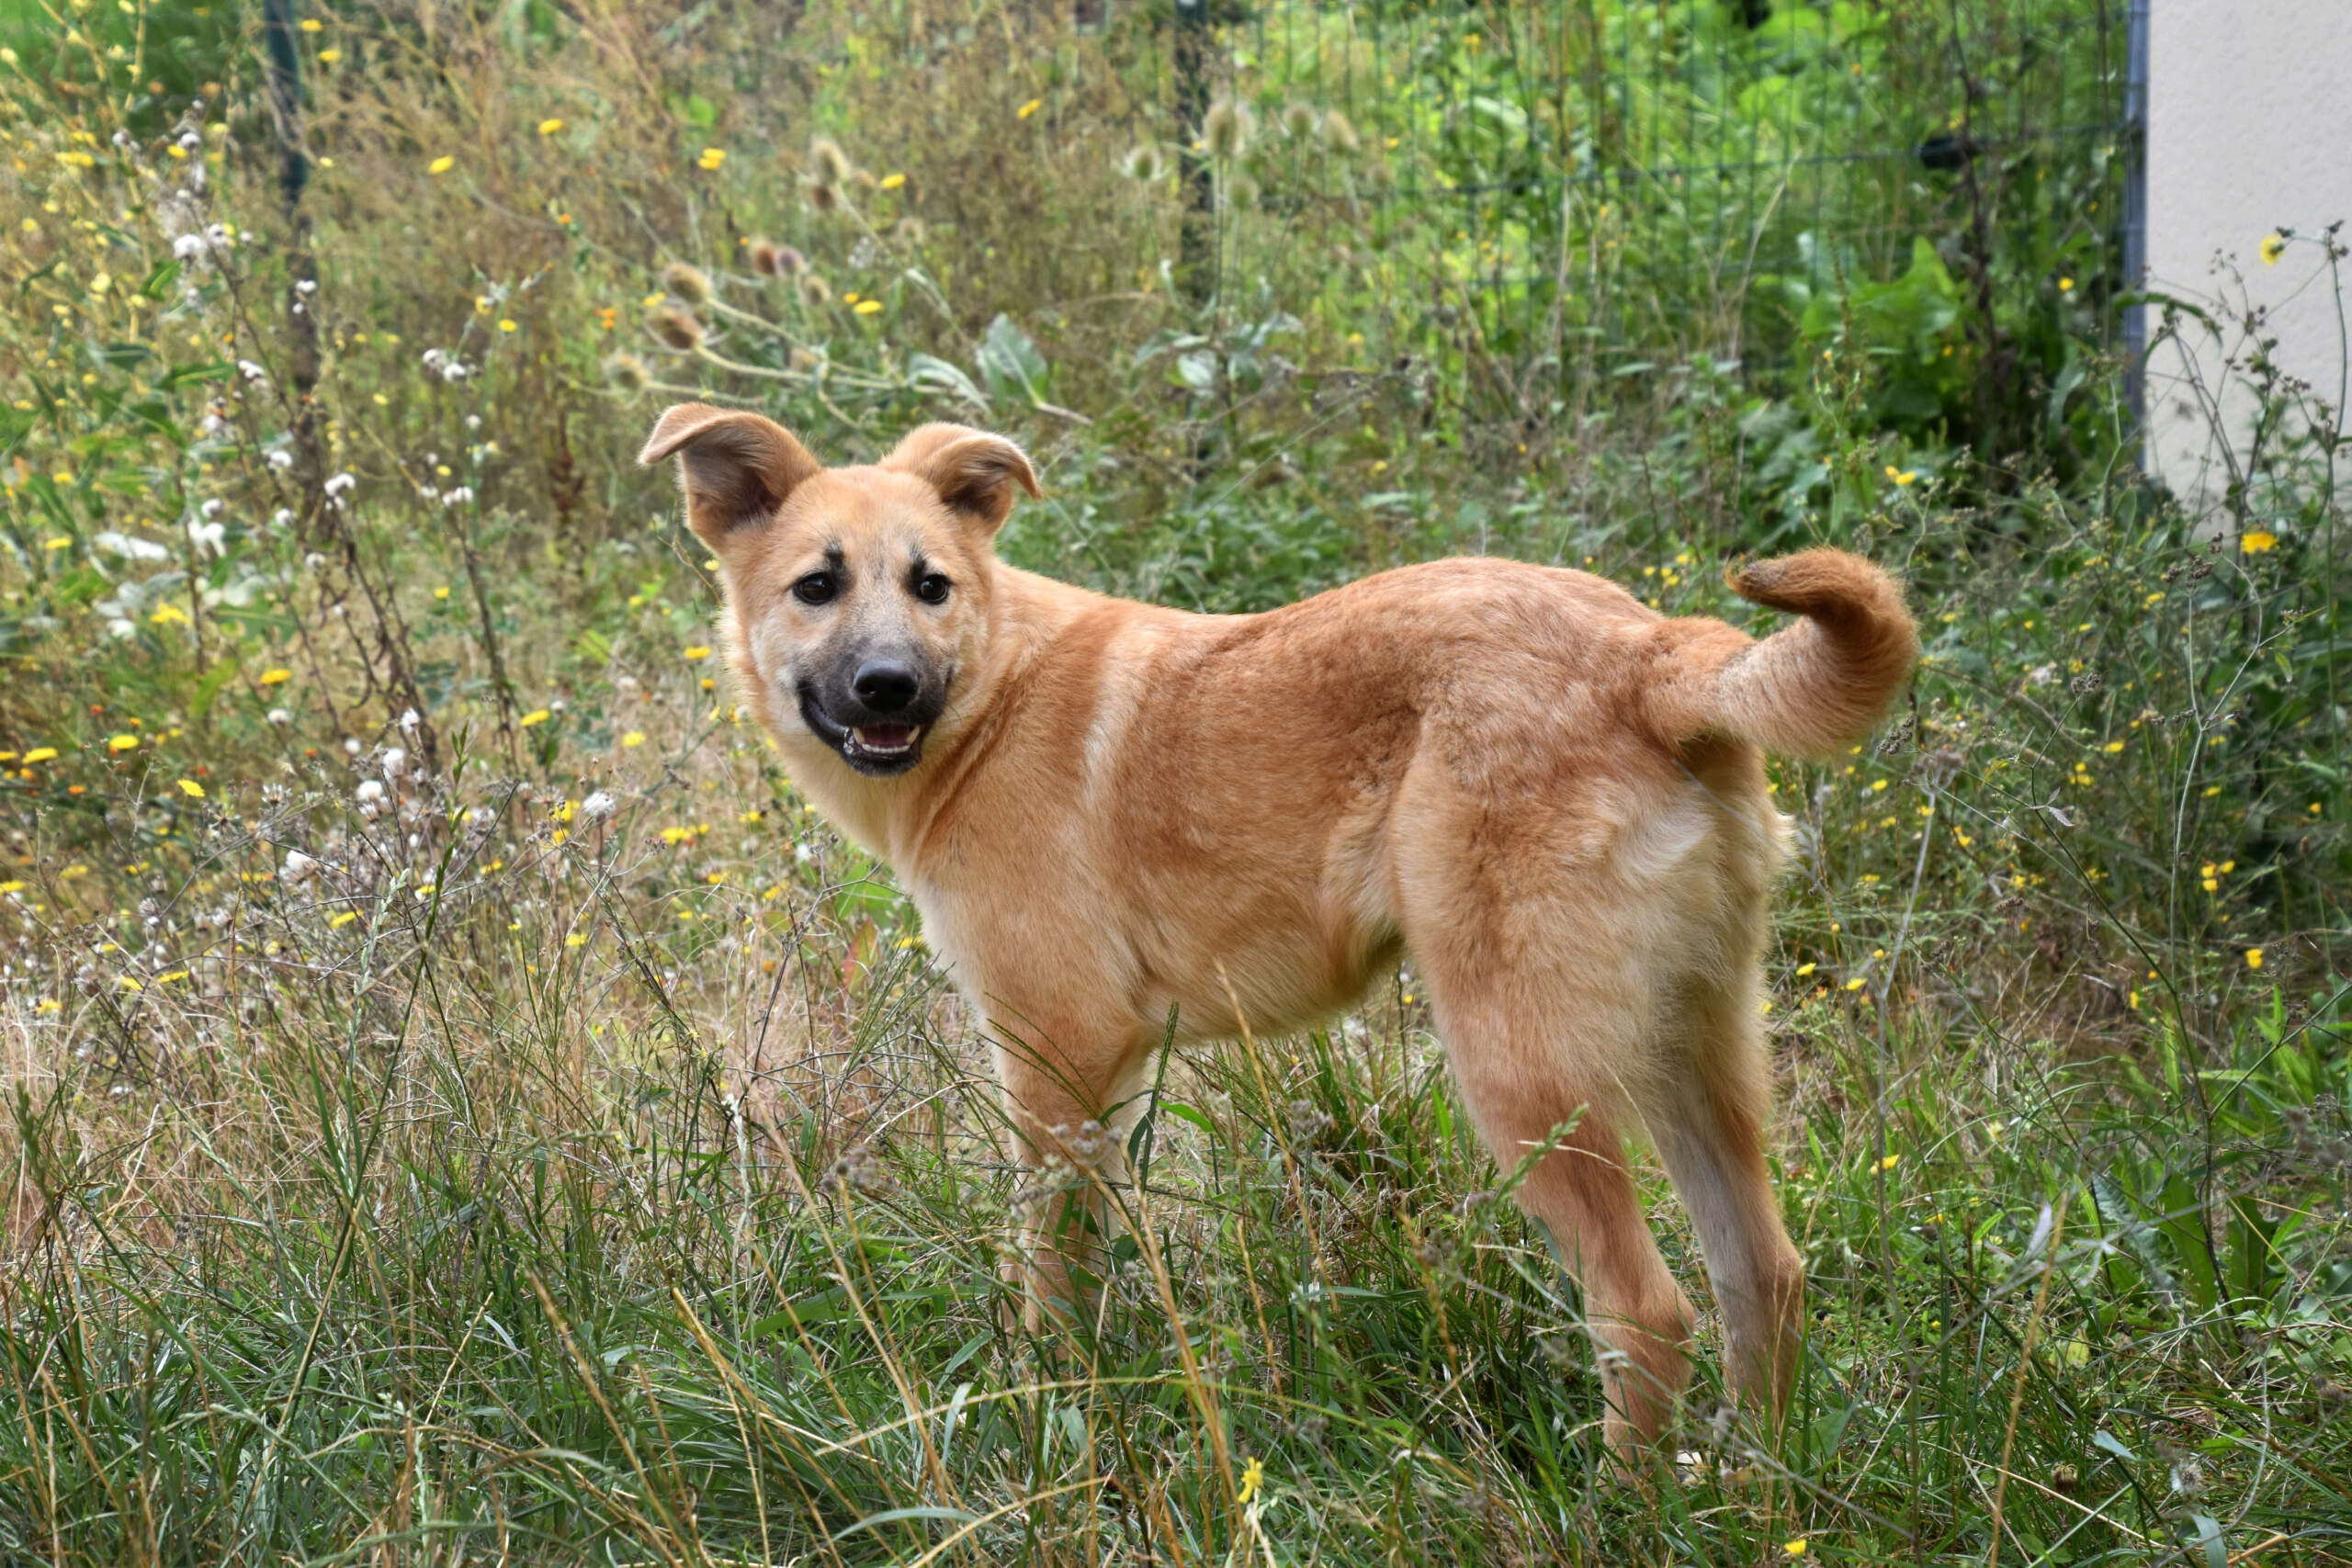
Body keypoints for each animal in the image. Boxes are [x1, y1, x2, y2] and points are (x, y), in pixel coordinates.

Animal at [639, 409, 1909, 1457]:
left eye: (929, 585)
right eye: (817, 585)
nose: (890, 687)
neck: (994, 691)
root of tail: (1657, 652)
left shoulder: (1054, 1058)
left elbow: (1045, 1279)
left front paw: (1046, 1419)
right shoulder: (1110, 1082)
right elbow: (1101, 1265)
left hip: (1524, 1078)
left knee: (1647, 1313)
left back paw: (1620, 1507)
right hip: (1696, 1053)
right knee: (1764, 1275)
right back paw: (1756, 1492)